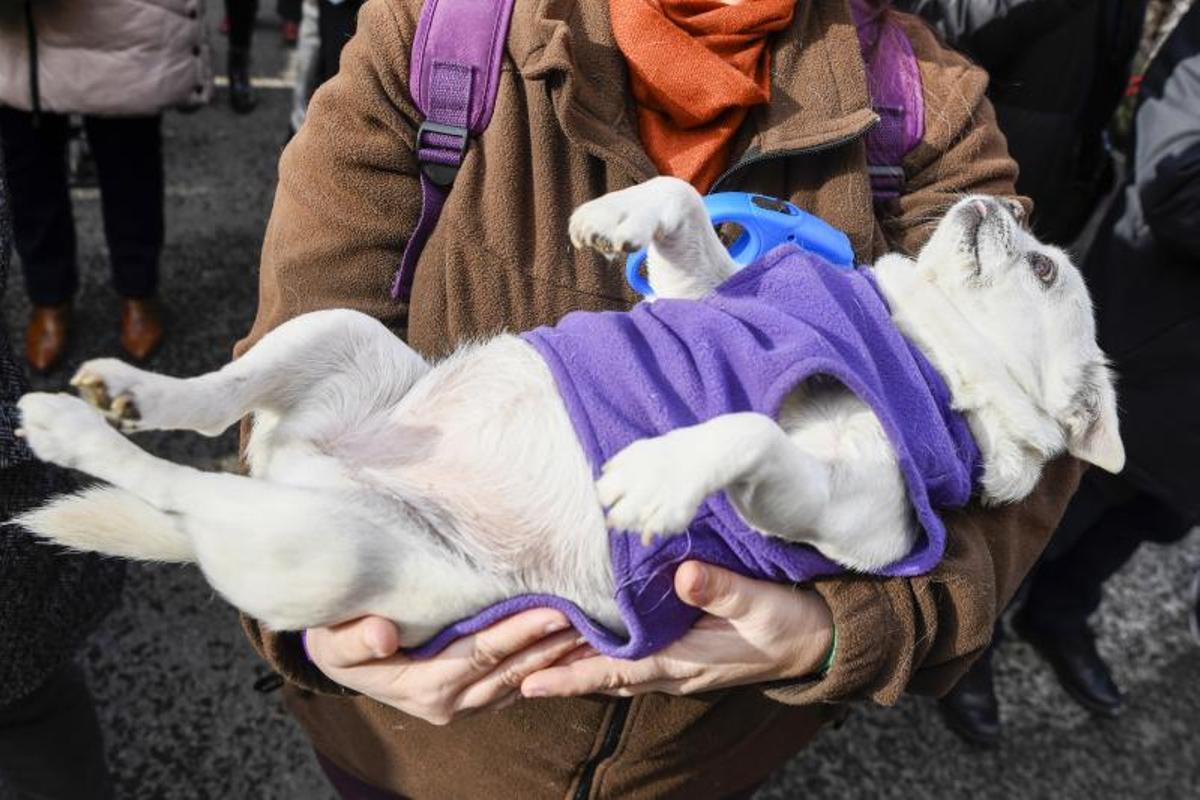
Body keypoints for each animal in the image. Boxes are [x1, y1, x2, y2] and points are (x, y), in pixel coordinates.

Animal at [14, 176, 1123, 652]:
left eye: (1046, 267)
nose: (1007, 202)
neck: (908, 343)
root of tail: (299, 473)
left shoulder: (847, 516)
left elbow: (753, 427)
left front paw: (657, 476)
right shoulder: (705, 294)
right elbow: (683, 208)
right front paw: (616, 214)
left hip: (322, 544)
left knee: (182, 485)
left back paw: (77, 431)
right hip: (338, 336)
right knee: (214, 411)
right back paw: (129, 390)